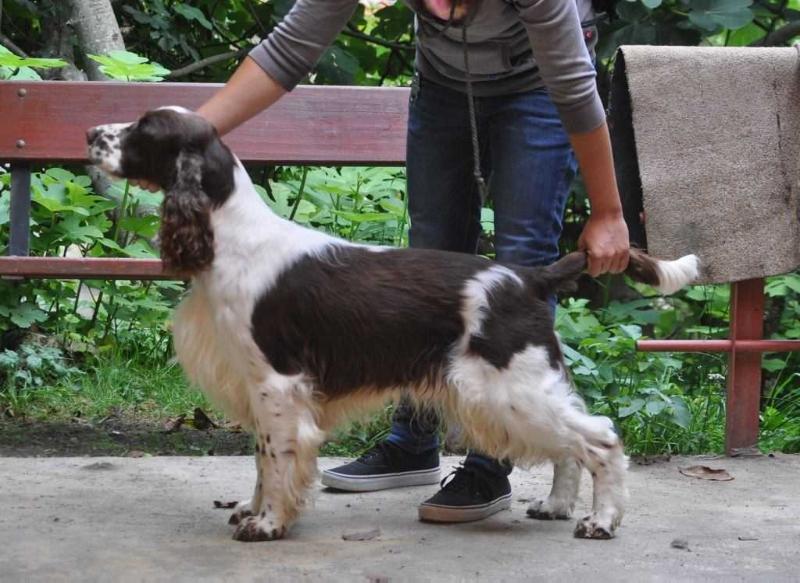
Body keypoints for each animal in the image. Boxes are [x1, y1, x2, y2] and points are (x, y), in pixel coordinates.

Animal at [89, 108, 700, 544]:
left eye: (145, 128)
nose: (92, 132)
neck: (230, 236)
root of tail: (527, 276)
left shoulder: (277, 383)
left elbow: (278, 457)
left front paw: (267, 524)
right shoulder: (256, 382)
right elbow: (262, 459)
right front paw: (253, 510)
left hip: (507, 386)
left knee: (600, 436)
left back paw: (601, 520)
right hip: (519, 388)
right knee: (570, 443)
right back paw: (555, 505)